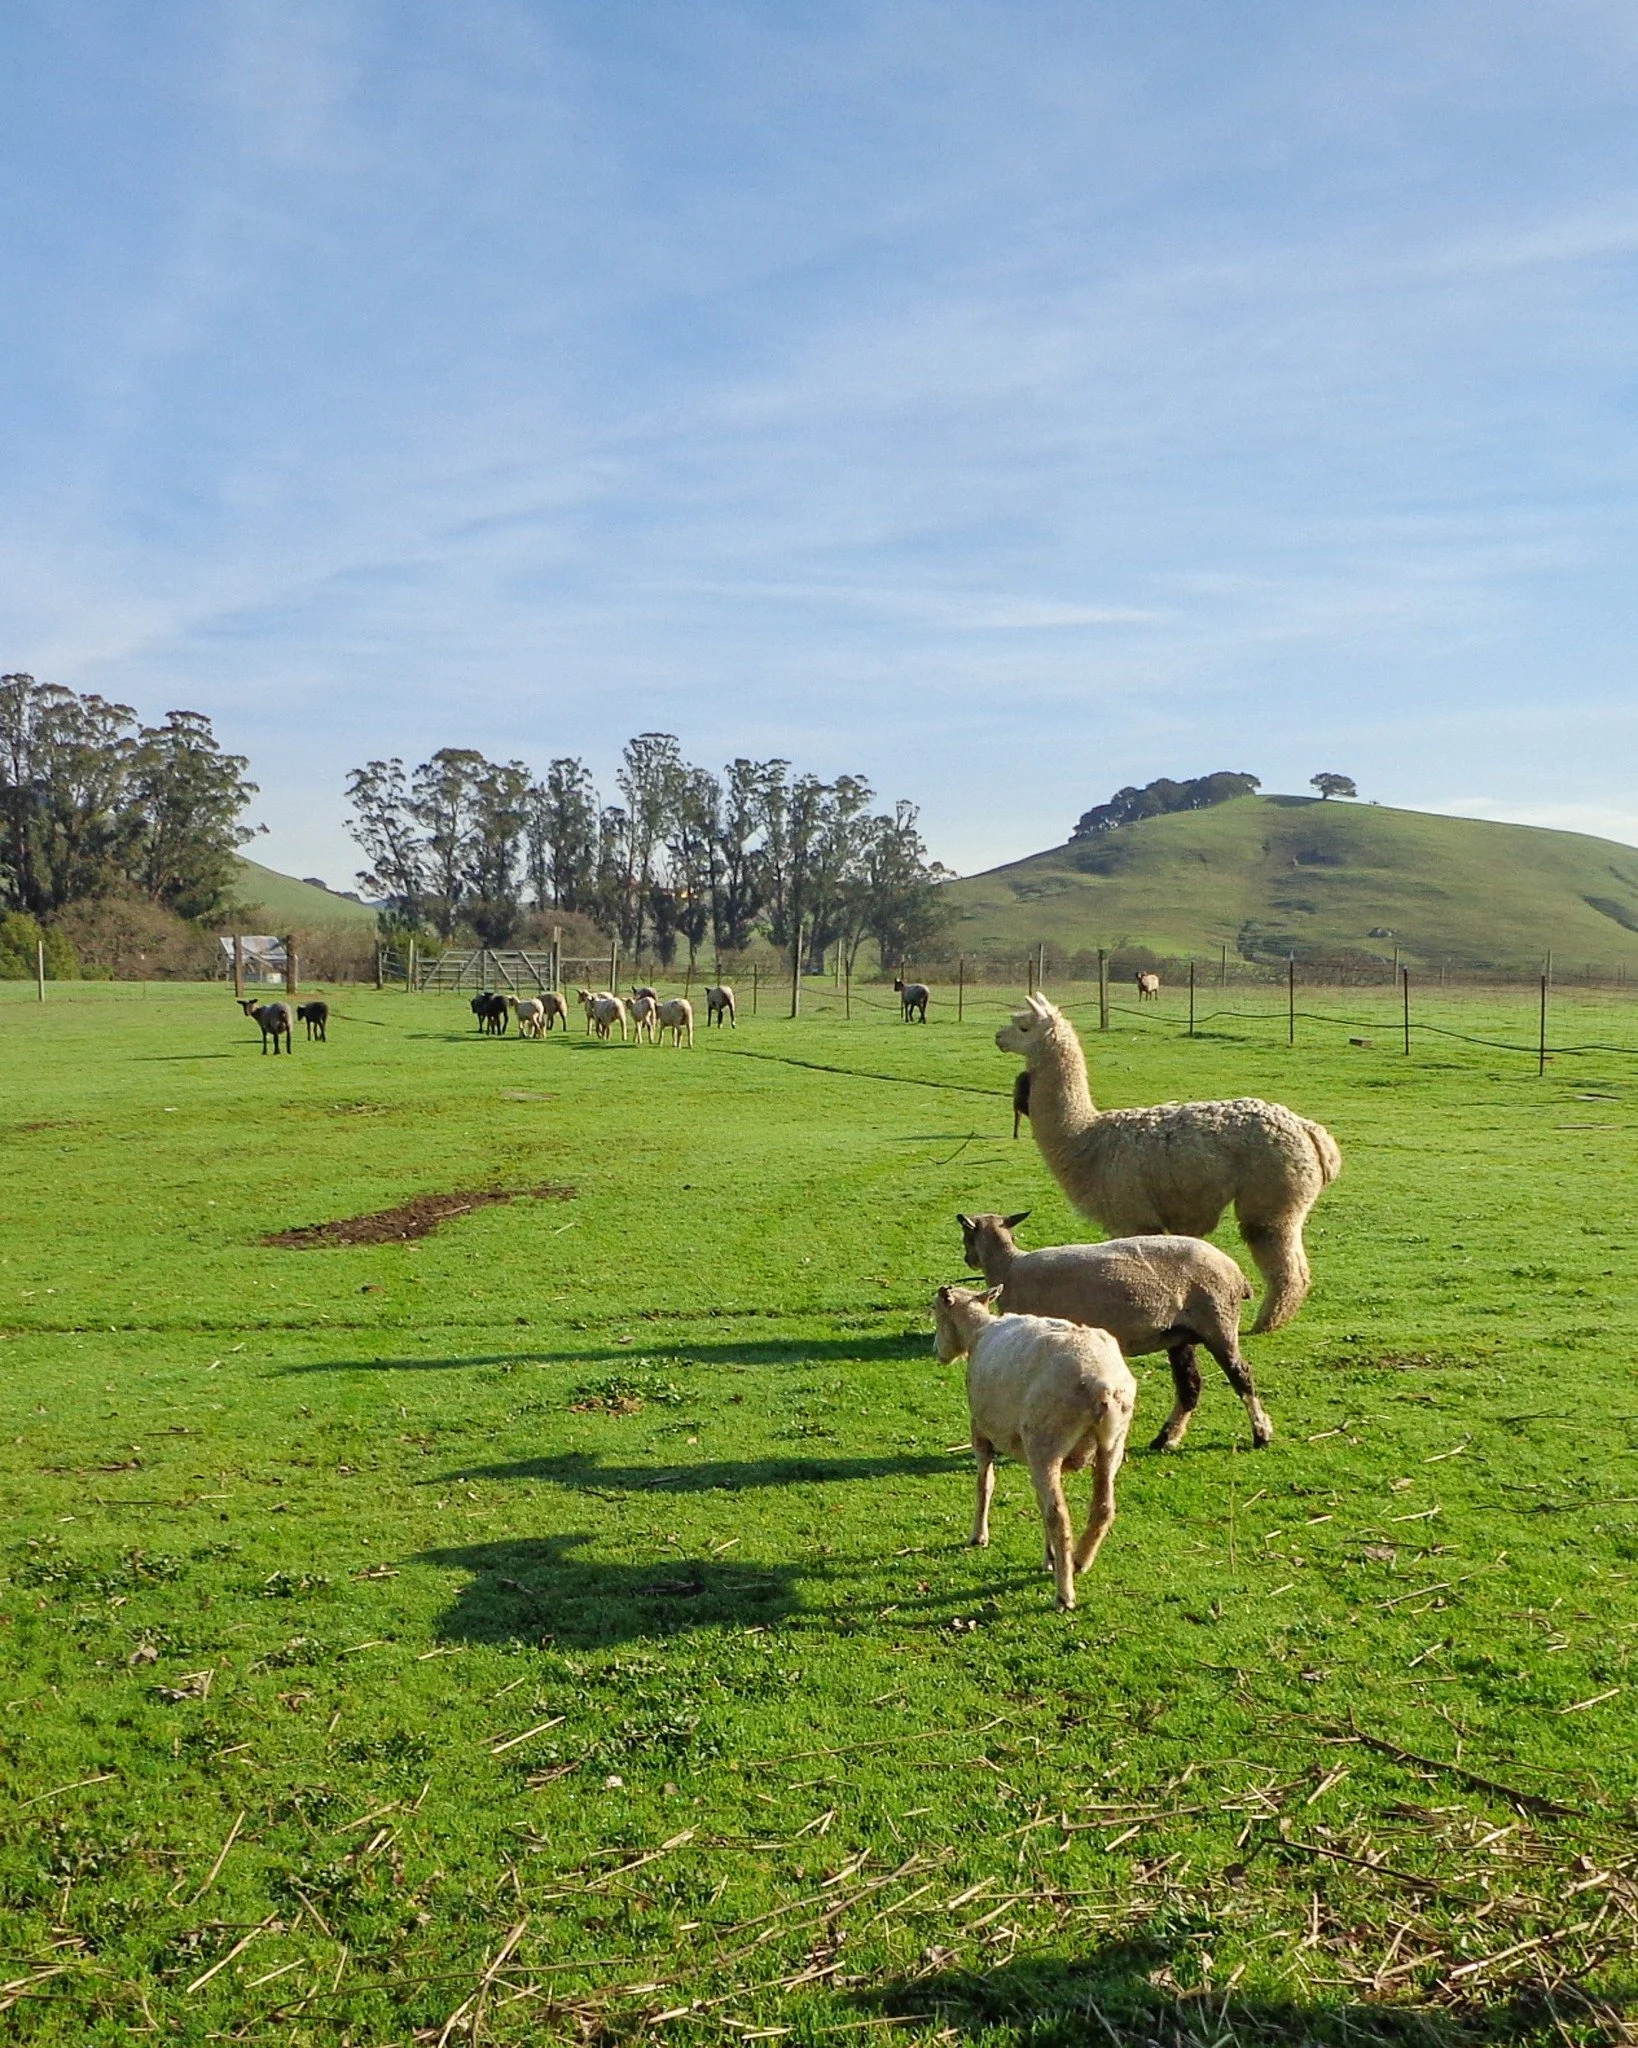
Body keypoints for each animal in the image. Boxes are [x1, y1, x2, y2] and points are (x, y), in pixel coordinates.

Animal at [931, 1284, 1137, 1610]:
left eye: (936, 1312)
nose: (935, 1351)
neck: (978, 1329)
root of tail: (1102, 1386)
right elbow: (1039, 1502)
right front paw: (1048, 1557)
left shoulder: (981, 1430)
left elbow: (985, 1483)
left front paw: (978, 1536)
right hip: (1110, 1444)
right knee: (1102, 1507)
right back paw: (1079, 1561)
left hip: (1045, 1442)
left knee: (1059, 1515)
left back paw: (1064, 1593)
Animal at [955, 1211, 1270, 1449]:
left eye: (966, 1236)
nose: (967, 1258)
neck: (1009, 1267)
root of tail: (1236, 1272)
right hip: (1180, 1334)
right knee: (1190, 1385)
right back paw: (1166, 1438)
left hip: (1219, 1322)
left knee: (1241, 1375)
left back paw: (1261, 1433)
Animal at [996, 993, 1341, 1333]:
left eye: (1023, 1026)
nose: (998, 1036)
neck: (1085, 1138)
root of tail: (1311, 1132)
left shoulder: (1133, 1218)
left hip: (1272, 1195)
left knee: (1283, 1261)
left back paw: (1264, 1323)